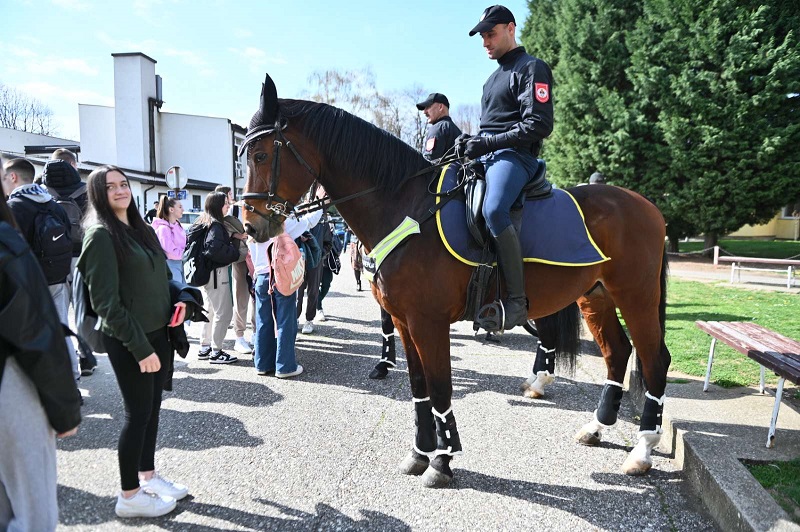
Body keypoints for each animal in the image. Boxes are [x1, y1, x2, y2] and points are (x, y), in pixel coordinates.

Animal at [241, 75, 672, 486]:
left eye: (261, 154)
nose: (249, 226)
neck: (406, 208)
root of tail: (646, 204)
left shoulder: (428, 323)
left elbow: (439, 388)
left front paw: (442, 462)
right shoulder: (404, 321)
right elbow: (418, 389)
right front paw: (420, 453)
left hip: (636, 296)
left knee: (654, 359)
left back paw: (642, 449)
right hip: (595, 296)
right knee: (618, 352)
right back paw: (597, 427)